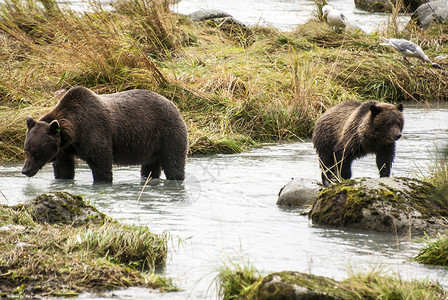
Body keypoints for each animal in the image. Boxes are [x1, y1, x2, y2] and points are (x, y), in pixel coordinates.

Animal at [22, 85, 187, 182]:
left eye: (36, 152)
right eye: (26, 150)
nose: (25, 170)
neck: (74, 132)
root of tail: (173, 104)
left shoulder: (95, 132)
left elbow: (101, 164)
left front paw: (103, 180)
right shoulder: (64, 149)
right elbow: (63, 169)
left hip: (168, 134)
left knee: (174, 163)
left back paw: (176, 178)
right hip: (151, 147)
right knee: (150, 167)